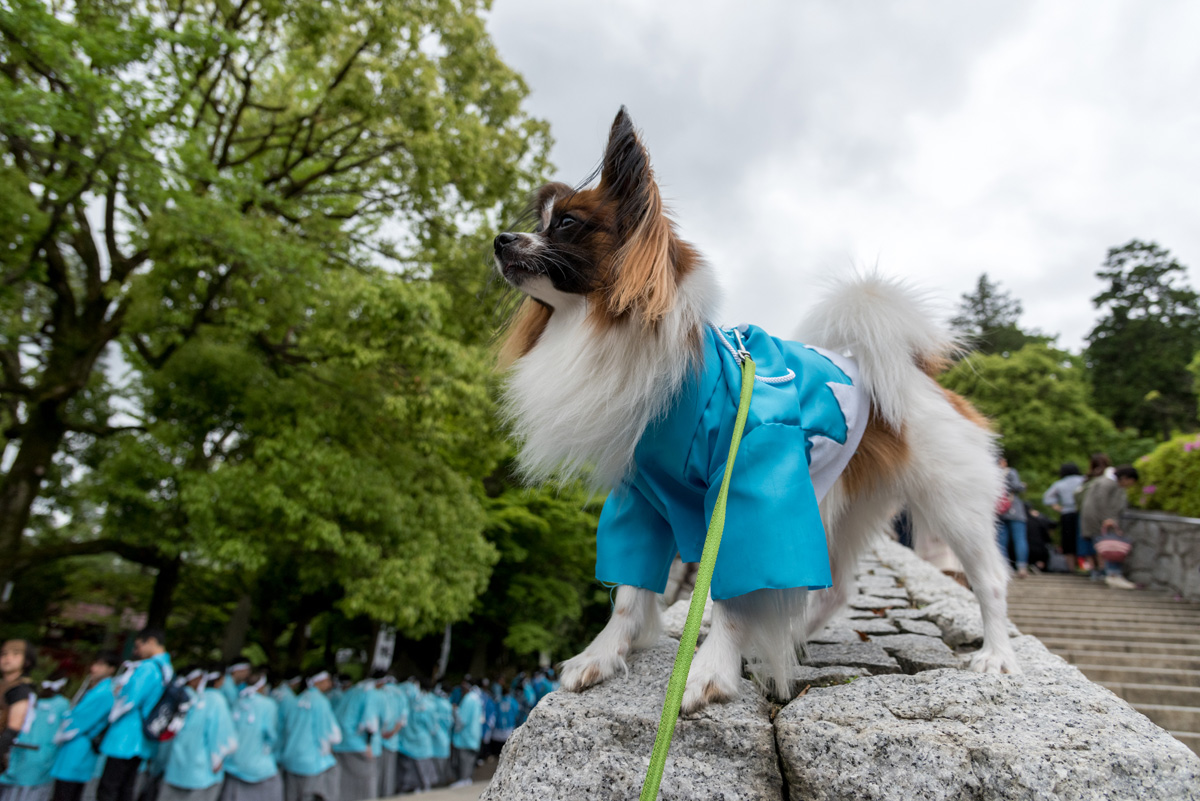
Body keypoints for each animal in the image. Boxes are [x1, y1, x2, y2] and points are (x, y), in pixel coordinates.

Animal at [492, 106, 1017, 714]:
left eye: (569, 225)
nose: (499, 239)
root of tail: (915, 374)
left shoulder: (748, 490)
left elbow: (734, 593)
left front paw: (710, 670)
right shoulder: (641, 500)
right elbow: (628, 594)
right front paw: (602, 657)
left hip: (952, 504)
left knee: (989, 580)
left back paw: (996, 656)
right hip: (842, 505)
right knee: (837, 588)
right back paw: (789, 640)